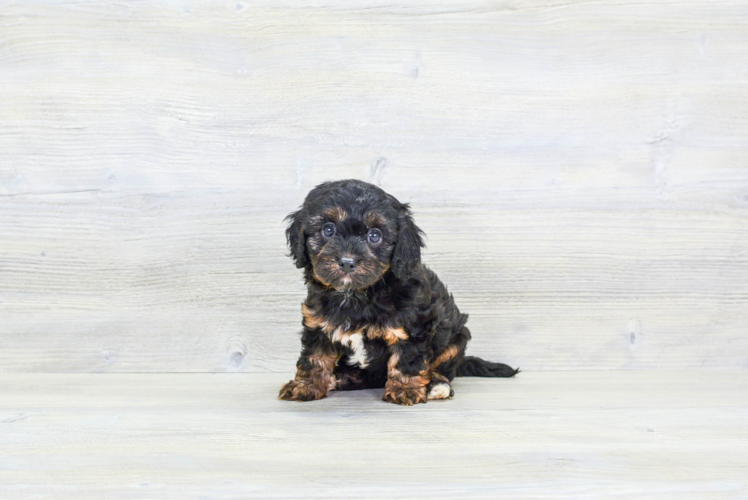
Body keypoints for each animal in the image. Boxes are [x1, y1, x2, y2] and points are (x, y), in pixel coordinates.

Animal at [278, 180, 516, 406]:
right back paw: (344, 377)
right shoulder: (318, 323)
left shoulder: (413, 326)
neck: (357, 294)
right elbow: (314, 357)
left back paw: (437, 385)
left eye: (375, 235)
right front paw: (306, 386)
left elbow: (407, 359)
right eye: (328, 230)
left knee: (444, 369)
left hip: (455, 341)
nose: (347, 262)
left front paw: (405, 389)